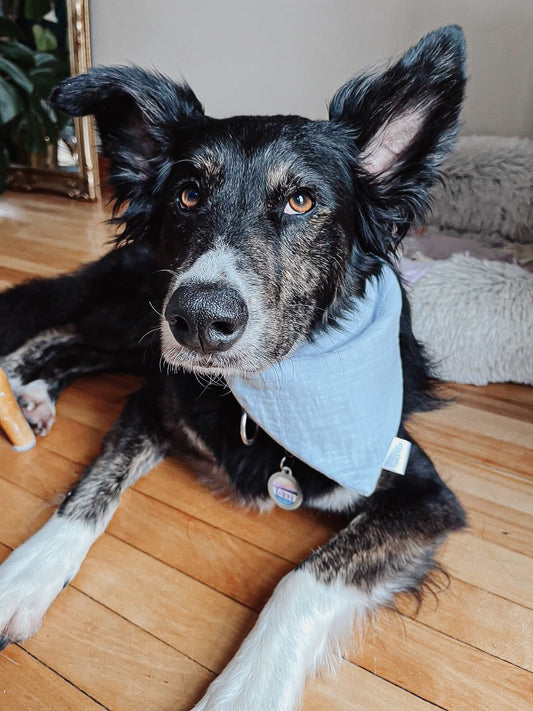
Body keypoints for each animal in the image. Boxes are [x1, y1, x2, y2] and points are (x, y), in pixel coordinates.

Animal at [0, 27, 466, 711]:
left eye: (301, 201)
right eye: (189, 194)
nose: (198, 319)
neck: (268, 392)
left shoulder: (424, 494)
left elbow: (305, 577)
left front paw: (249, 689)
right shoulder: (153, 401)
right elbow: (87, 491)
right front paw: (23, 578)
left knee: (76, 343)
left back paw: (31, 395)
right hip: (144, 320)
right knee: (64, 328)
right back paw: (16, 383)